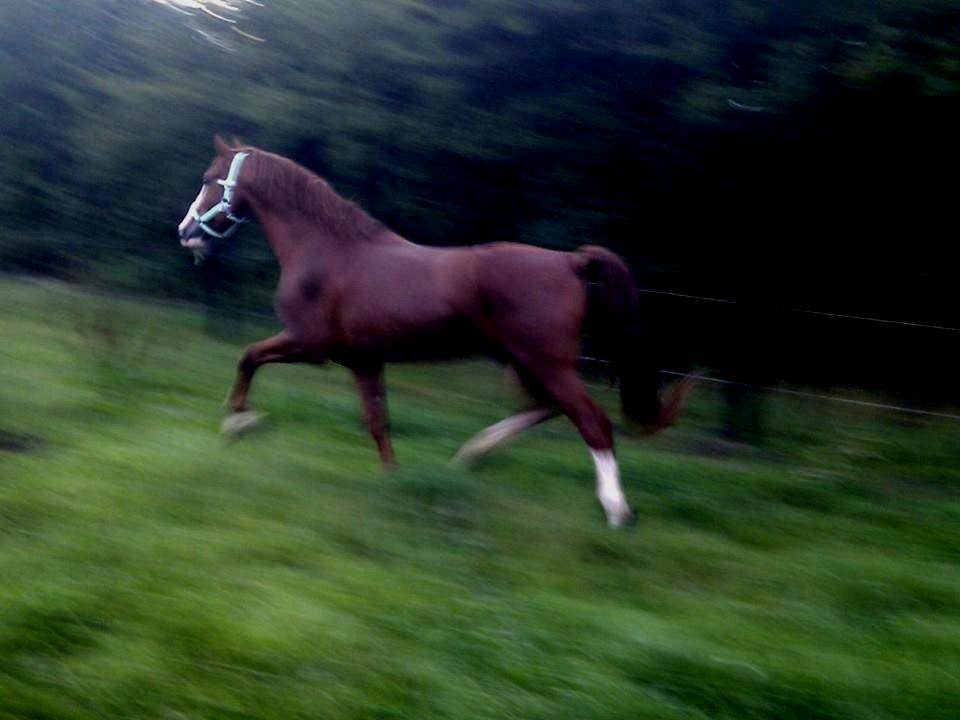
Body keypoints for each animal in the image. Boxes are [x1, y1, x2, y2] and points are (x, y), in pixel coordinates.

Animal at [178, 136, 688, 528]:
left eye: (208, 178)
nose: (185, 232)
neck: (327, 251)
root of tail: (571, 262)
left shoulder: (308, 344)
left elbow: (248, 356)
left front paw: (239, 423)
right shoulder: (364, 361)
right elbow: (378, 424)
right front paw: (393, 480)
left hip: (544, 361)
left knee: (591, 421)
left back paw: (617, 511)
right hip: (524, 361)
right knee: (546, 408)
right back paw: (471, 455)